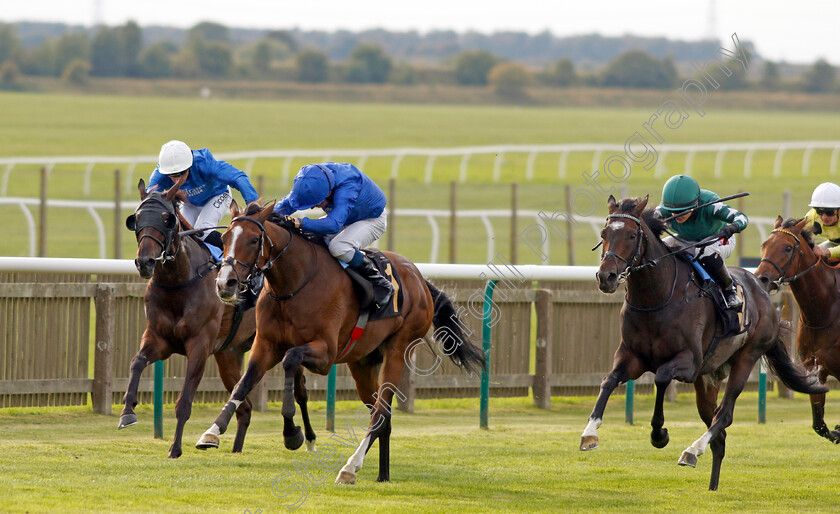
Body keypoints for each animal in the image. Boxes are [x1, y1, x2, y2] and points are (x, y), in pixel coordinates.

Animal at [118, 178, 256, 458]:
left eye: (167, 219)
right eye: (136, 218)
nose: (145, 261)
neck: (178, 281)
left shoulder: (199, 346)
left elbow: (184, 401)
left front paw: (175, 448)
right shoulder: (159, 339)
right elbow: (136, 362)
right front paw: (127, 412)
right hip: (229, 355)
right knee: (245, 406)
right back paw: (230, 446)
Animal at [194, 198, 482, 482]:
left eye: (254, 240)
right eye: (225, 238)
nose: (225, 284)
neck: (293, 285)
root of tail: (421, 279)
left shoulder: (325, 354)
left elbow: (290, 360)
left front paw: (292, 433)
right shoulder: (265, 345)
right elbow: (242, 384)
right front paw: (212, 432)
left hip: (399, 348)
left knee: (380, 411)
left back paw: (350, 467)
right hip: (363, 362)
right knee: (381, 414)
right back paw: (382, 474)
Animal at [584, 195, 828, 488]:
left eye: (632, 235)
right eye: (604, 234)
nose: (606, 277)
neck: (657, 298)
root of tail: (761, 288)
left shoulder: (688, 363)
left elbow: (662, 377)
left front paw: (659, 434)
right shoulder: (632, 357)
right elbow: (608, 381)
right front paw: (589, 433)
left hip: (746, 357)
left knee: (724, 415)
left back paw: (692, 450)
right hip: (708, 377)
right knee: (718, 432)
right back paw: (711, 483)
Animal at [756, 215, 840, 440]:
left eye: (787, 248)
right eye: (764, 245)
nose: (761, 278)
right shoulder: (814, 368)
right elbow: (819, 424)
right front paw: (836, 432)